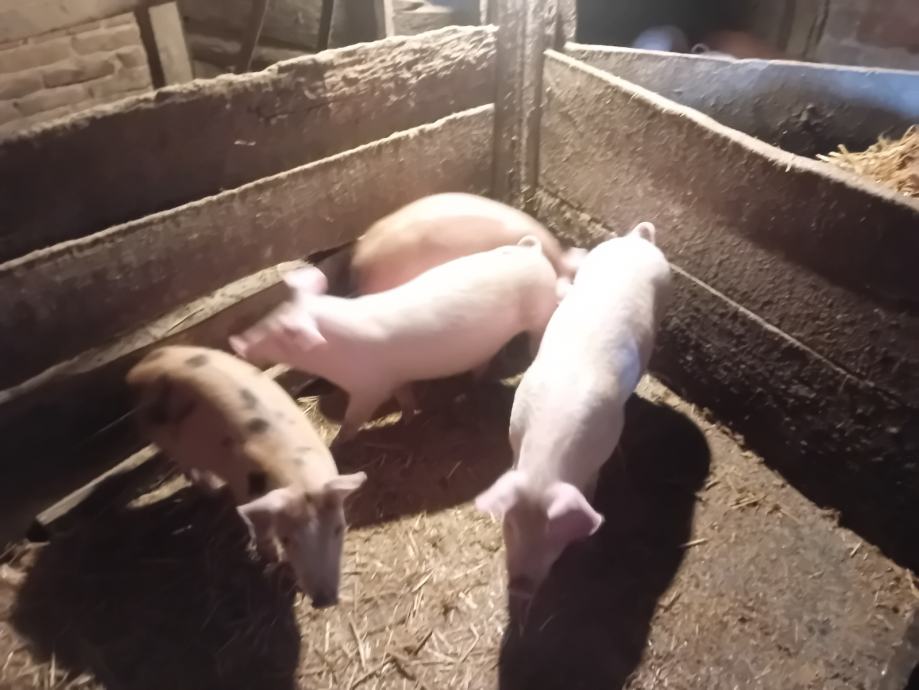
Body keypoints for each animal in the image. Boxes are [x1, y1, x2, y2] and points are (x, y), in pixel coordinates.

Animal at [126, 345, 367, 608]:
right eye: (286, 539)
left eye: (339, 528)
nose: (325, 601)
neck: (299, 479)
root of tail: (143, 363)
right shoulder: (245, 490)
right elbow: (259, 529)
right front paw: (270, 558)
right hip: (161, 437)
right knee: (186, 465)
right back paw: (211, 490)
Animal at [230, 236, 565, 445]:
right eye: (274, 313)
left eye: (284, 332)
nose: (236, 342)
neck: (336, 353)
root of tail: (532, 250)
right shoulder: (396, 378)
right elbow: (405, 397)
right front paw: (407, 419)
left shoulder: (369, 388)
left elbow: (353, 420)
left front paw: (337, 443)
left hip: (540, 313)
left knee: (536, 338)